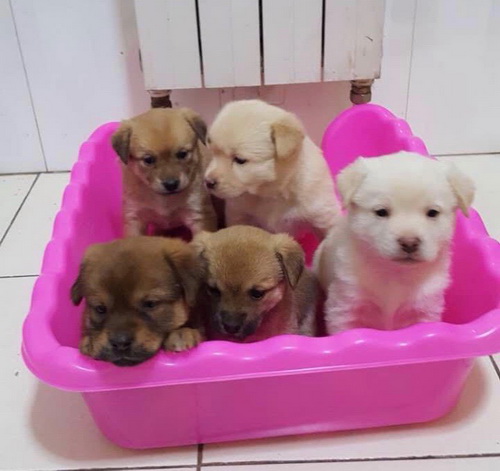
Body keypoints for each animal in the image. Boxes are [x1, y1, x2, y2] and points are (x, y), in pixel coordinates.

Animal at [111, 108, 217, 237]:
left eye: (182, 154)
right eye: (148, 159)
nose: (171, 184)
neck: (164, 198)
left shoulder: (199, 215)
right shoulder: (134, 217)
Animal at [204, 100, 340, 240]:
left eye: (239, 160)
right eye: (213, 153)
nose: (208, 182)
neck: (271, 194)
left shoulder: (323, 214)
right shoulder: (238, 214)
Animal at [314, 152, 475, 333]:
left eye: (433, 213)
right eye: (381, 212)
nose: (409, 243)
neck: (395, 273)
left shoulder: (426, 309)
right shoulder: (344, 308)